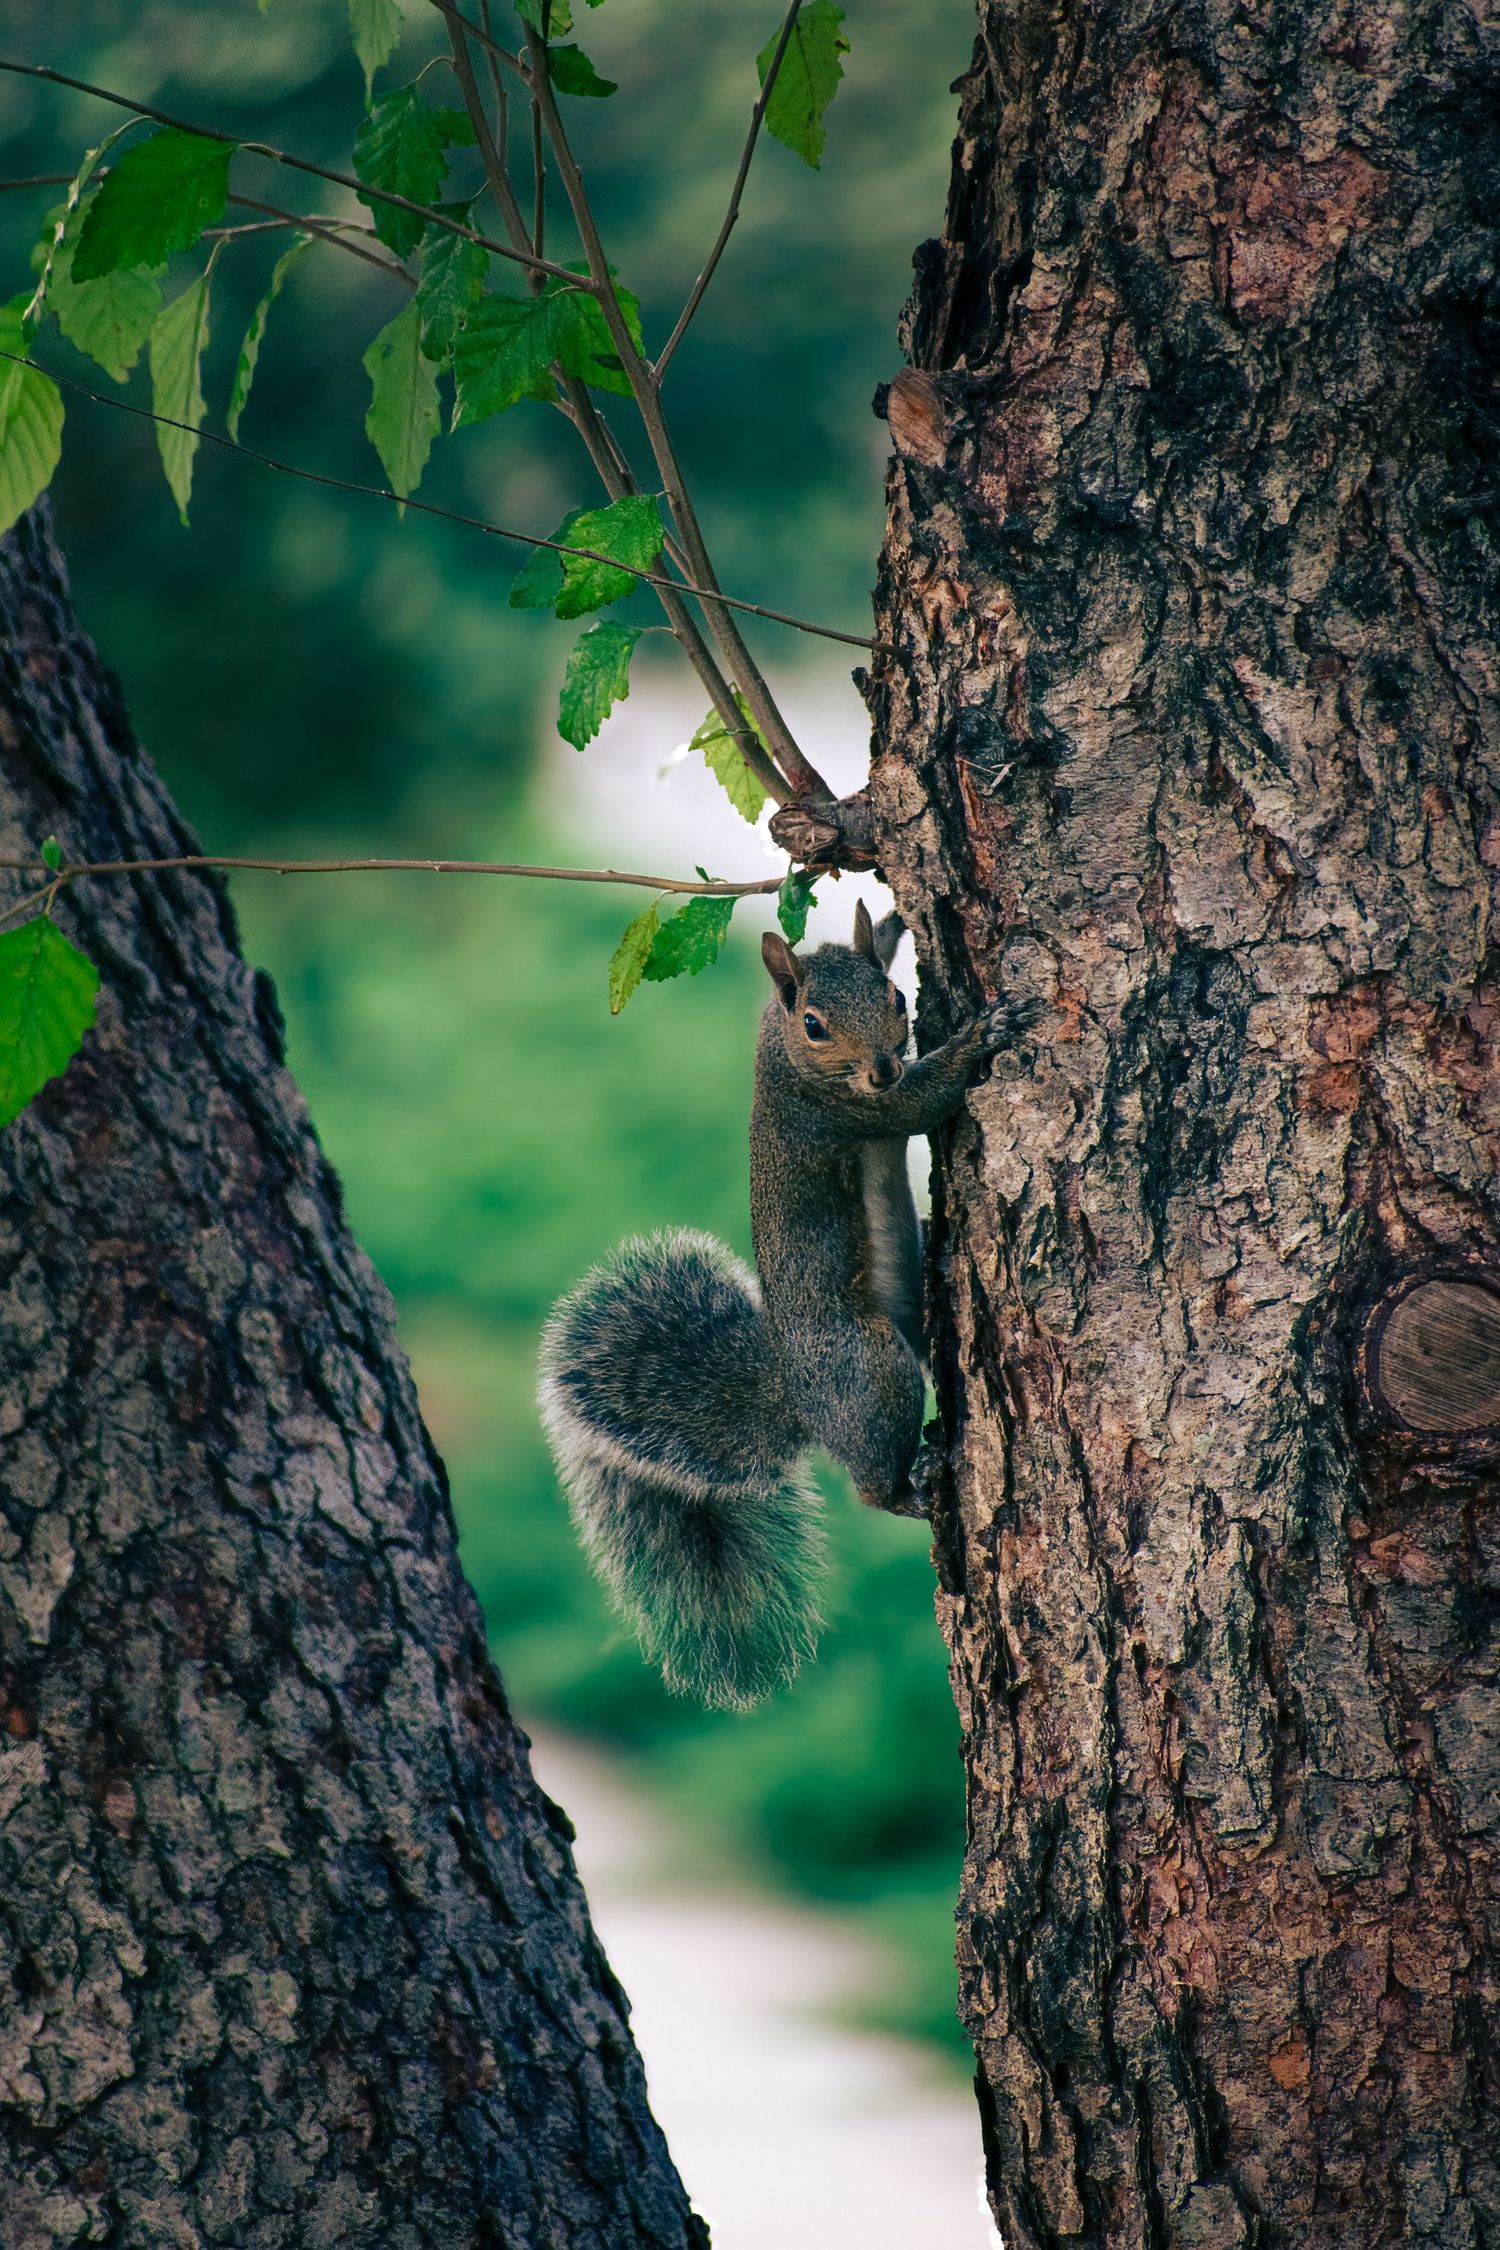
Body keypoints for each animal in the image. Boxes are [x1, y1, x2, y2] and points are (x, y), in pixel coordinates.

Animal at [538, 899, 1041, 1710]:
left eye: (896, 997)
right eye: (813, 1023)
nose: (883, 1064)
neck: (781, 1051)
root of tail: (797, 1393)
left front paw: (890, 917)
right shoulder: (844, 1109)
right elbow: (923, 1098)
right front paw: (983, 1034)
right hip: (867, 1369)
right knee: (870, 1485)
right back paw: (915, 1483)